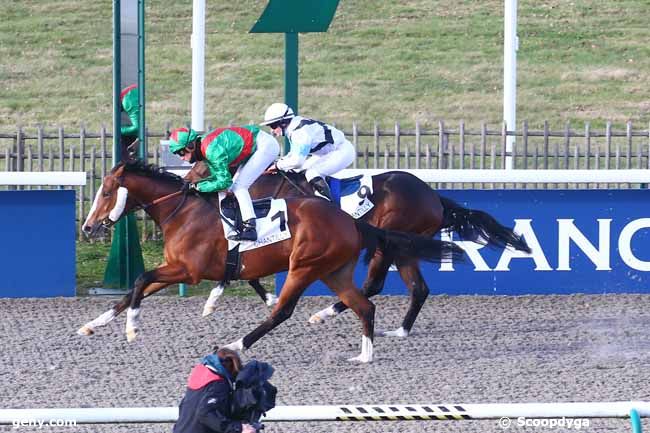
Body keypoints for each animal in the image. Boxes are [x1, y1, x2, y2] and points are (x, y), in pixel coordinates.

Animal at [81, 159, 464, 362]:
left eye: (106, 192)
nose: (87, 227)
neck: (184, 212)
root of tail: (349, 221)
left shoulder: (188, 271)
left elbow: (141, 279)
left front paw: (132, 328)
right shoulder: (176, 269)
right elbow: (135, 289)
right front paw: (93, 324)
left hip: (306, 266)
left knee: (284, 310)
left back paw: (236, 344)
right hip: (335, 270)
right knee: (369, 303)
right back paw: (367, 351)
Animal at [185, 164, 528, 336]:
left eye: (199, 167)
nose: (186, 185)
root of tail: (434, 197)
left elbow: (249, 270)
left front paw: (264, 298)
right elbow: (243, 269)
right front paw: (214, 300)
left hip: (388, 243)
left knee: (373, 285)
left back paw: (324, 313)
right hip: (404, 247)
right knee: (418, 288)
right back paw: (400, 330)